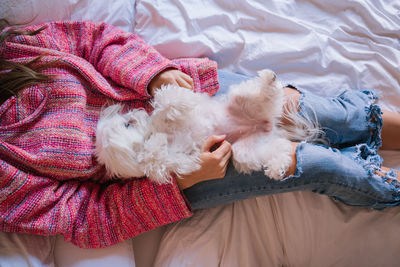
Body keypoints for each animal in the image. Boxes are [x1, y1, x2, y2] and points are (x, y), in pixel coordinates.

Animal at [94, 69, 318, 184]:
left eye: (126, 122)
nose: (134, 114)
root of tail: (266, 125)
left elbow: (168, 100)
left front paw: (175, 102)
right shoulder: (175, 161)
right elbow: (155, 159)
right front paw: (153, 146)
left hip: (241, 99)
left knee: (266, 95)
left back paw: (269, 80)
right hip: (244, 151)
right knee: (278, 148)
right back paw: (277, 167)